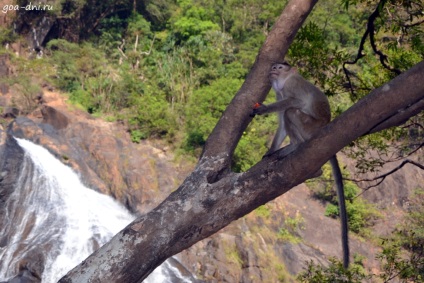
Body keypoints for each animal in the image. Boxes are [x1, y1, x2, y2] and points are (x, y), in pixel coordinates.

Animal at [250, 62, 350, 270]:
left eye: (280, 67)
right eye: (274, 66)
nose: (273, 69)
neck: (284, 82)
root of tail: (324, 127)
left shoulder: (291, 87)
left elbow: (293, 102)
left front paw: (263, 109)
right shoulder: (279, 94)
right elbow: (281, 122)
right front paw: (271, 150)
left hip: (309, 127)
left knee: (292, 111)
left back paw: (294, 146)